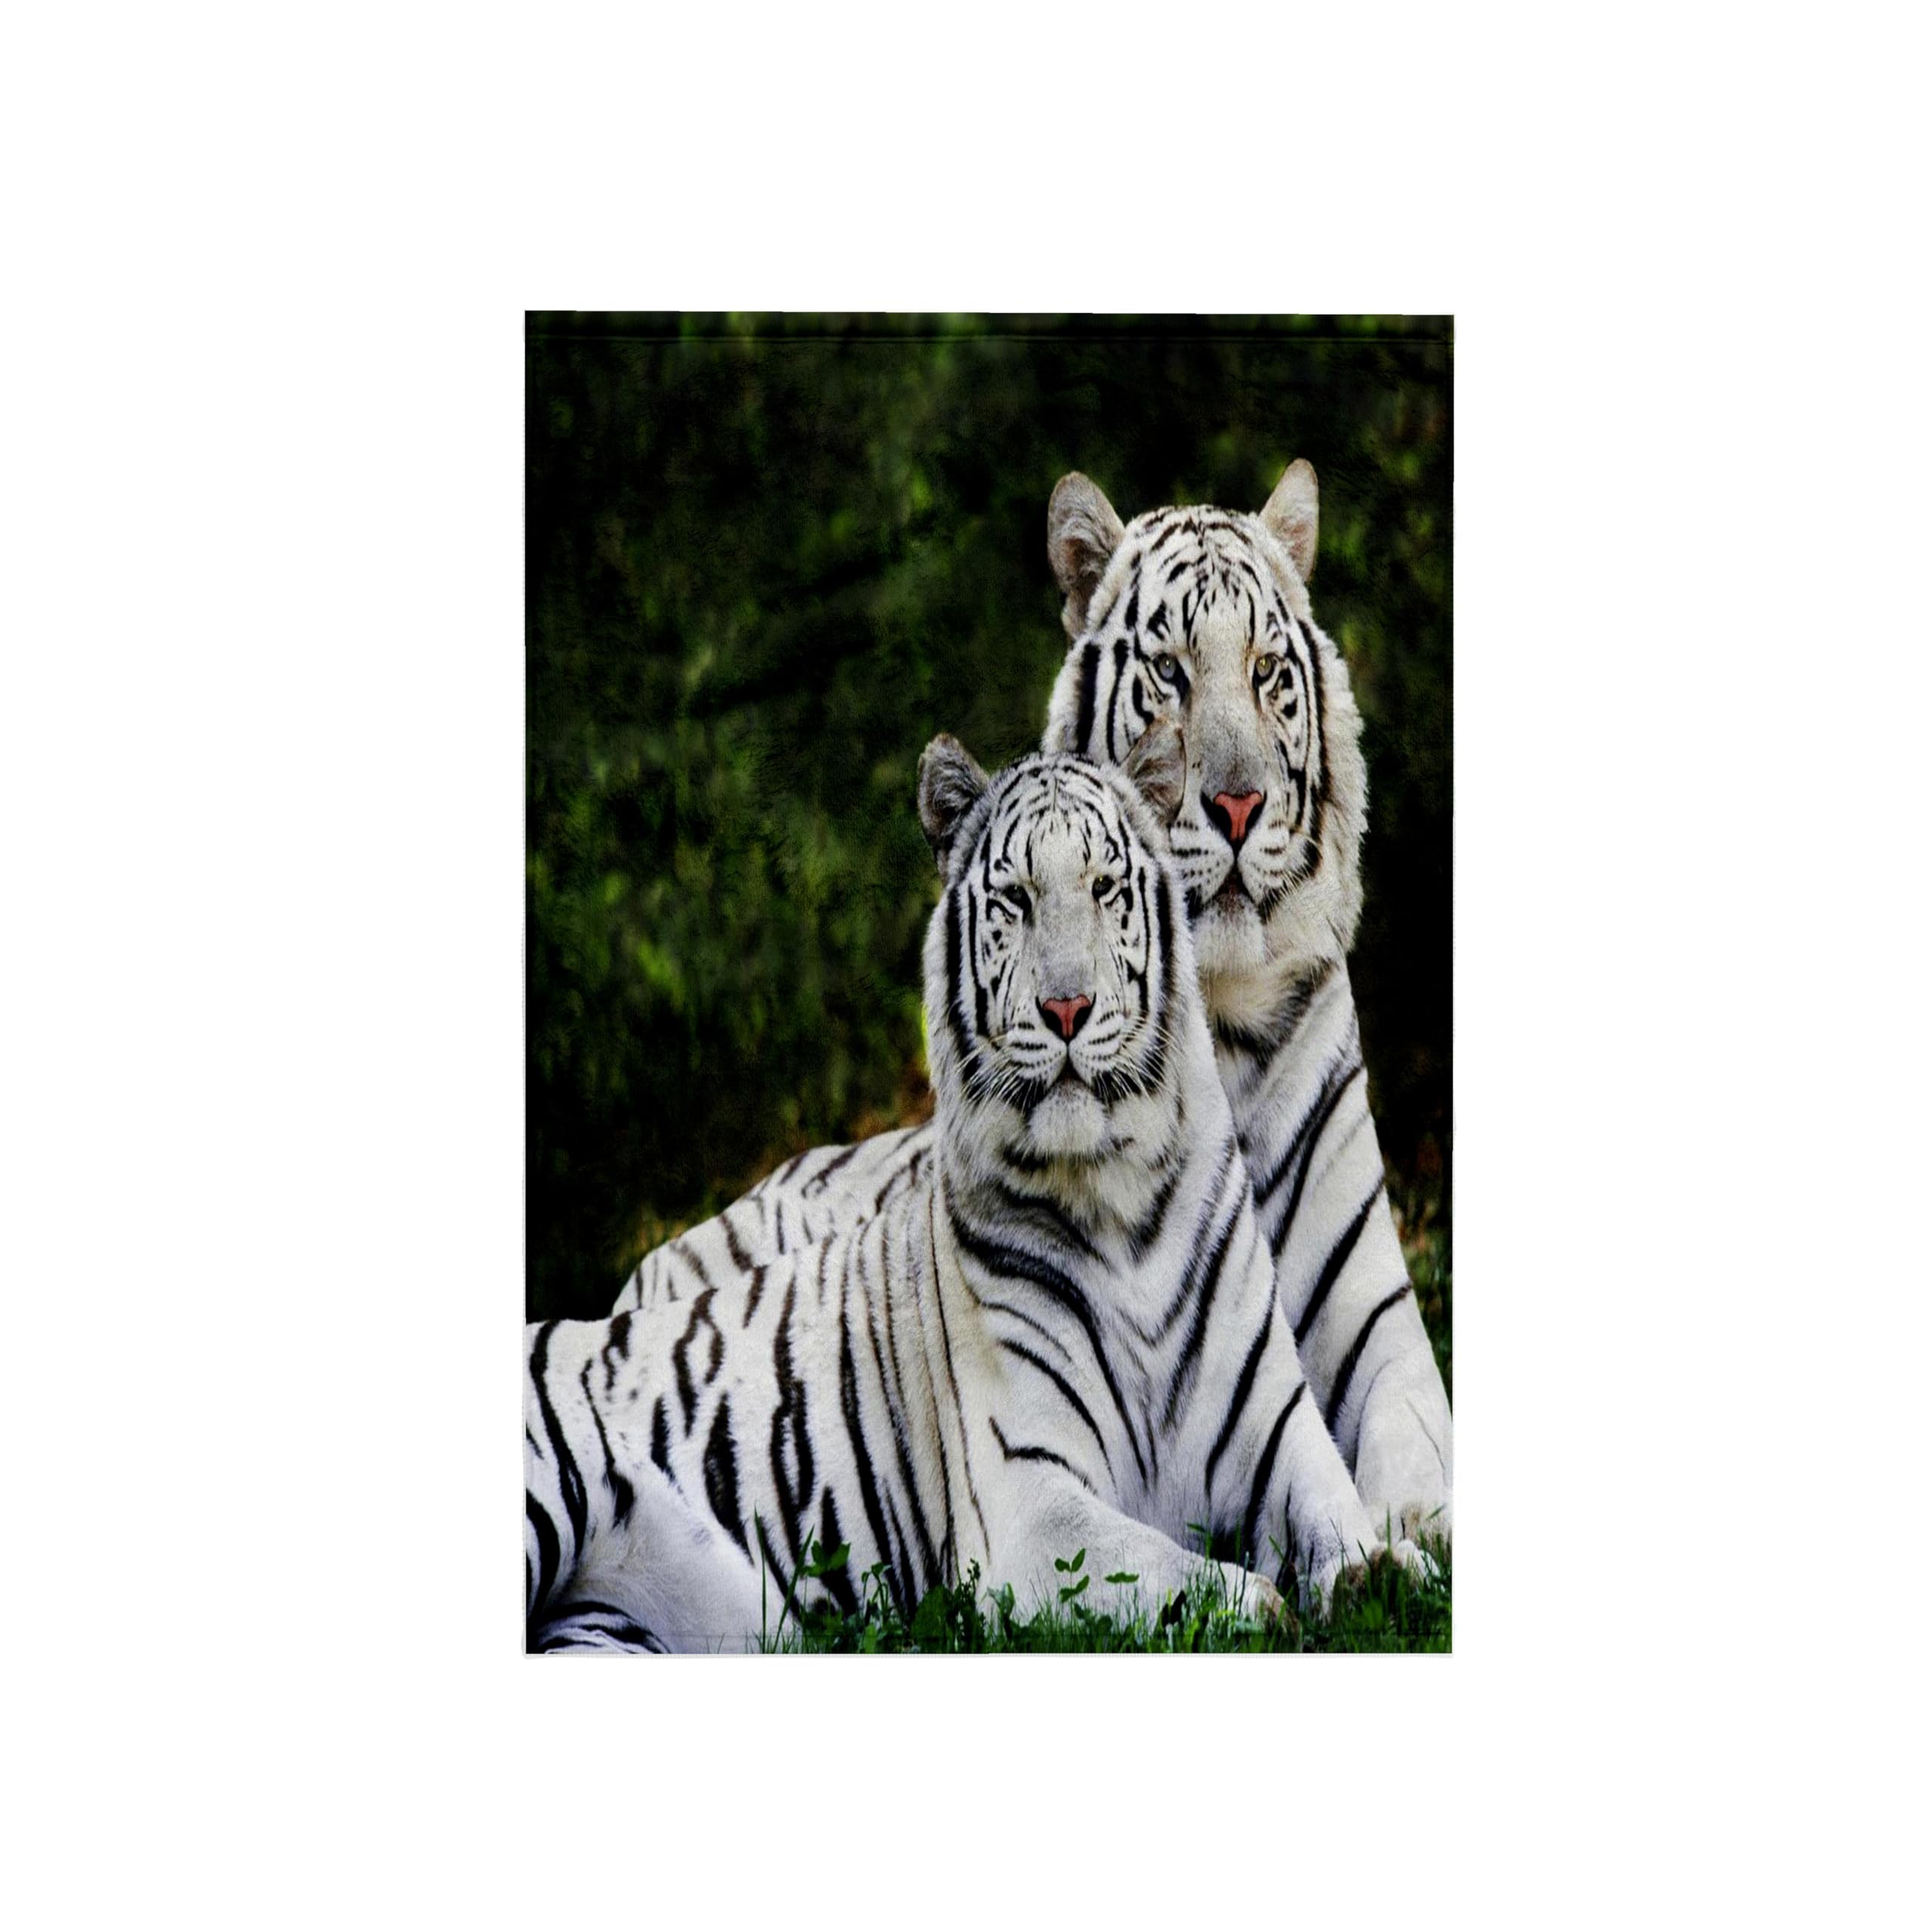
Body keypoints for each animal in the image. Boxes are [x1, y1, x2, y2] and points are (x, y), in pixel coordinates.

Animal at [527, 728, 1410, 1652]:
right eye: (1015, 900)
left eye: (1104, 888)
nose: (1067, 1009)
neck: (1119, 1197)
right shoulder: (1029, 1505)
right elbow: (1187, 1577)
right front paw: (1268, 1607)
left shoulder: (1280, 1431)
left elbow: (1343, 1517)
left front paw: (1379, 1573)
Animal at [611, 462, 1453, 1548]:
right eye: (1170, 674)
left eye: (1269, 670)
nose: (1235, 806)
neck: (1216, 1022)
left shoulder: (1379, 1334)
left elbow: (1415, 1470)